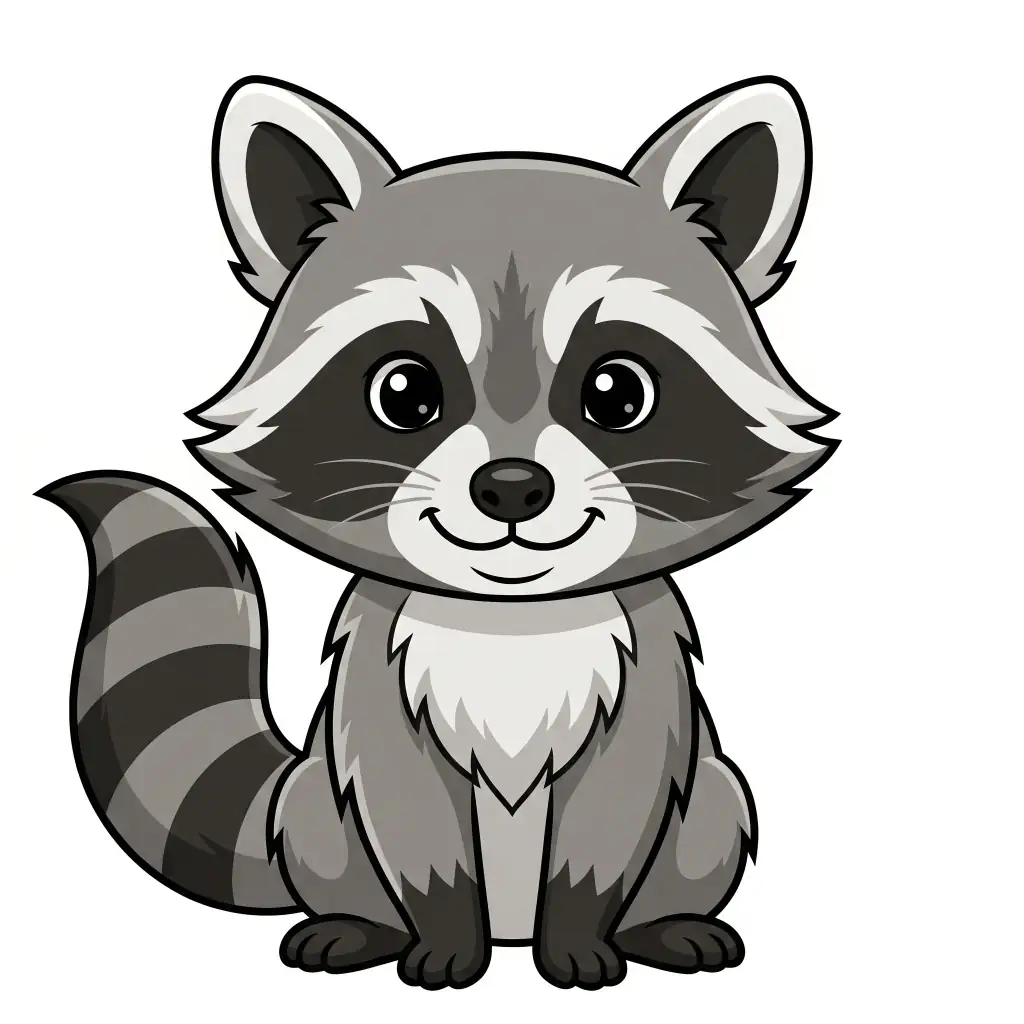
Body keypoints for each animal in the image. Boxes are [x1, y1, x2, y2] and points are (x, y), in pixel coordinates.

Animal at [40, 75, 836, 990]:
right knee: (325, 817)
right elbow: (411, 816)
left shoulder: (644, 676)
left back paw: (664, 924)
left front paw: (579, 934)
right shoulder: (379, 681)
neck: (512, 622)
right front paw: (448, 936)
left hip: (710, 802)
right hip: (314, 809)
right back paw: (360, 923)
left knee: (709, 805)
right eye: (405, 392)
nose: (512, 487)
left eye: (616, 392)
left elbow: (609, 819)